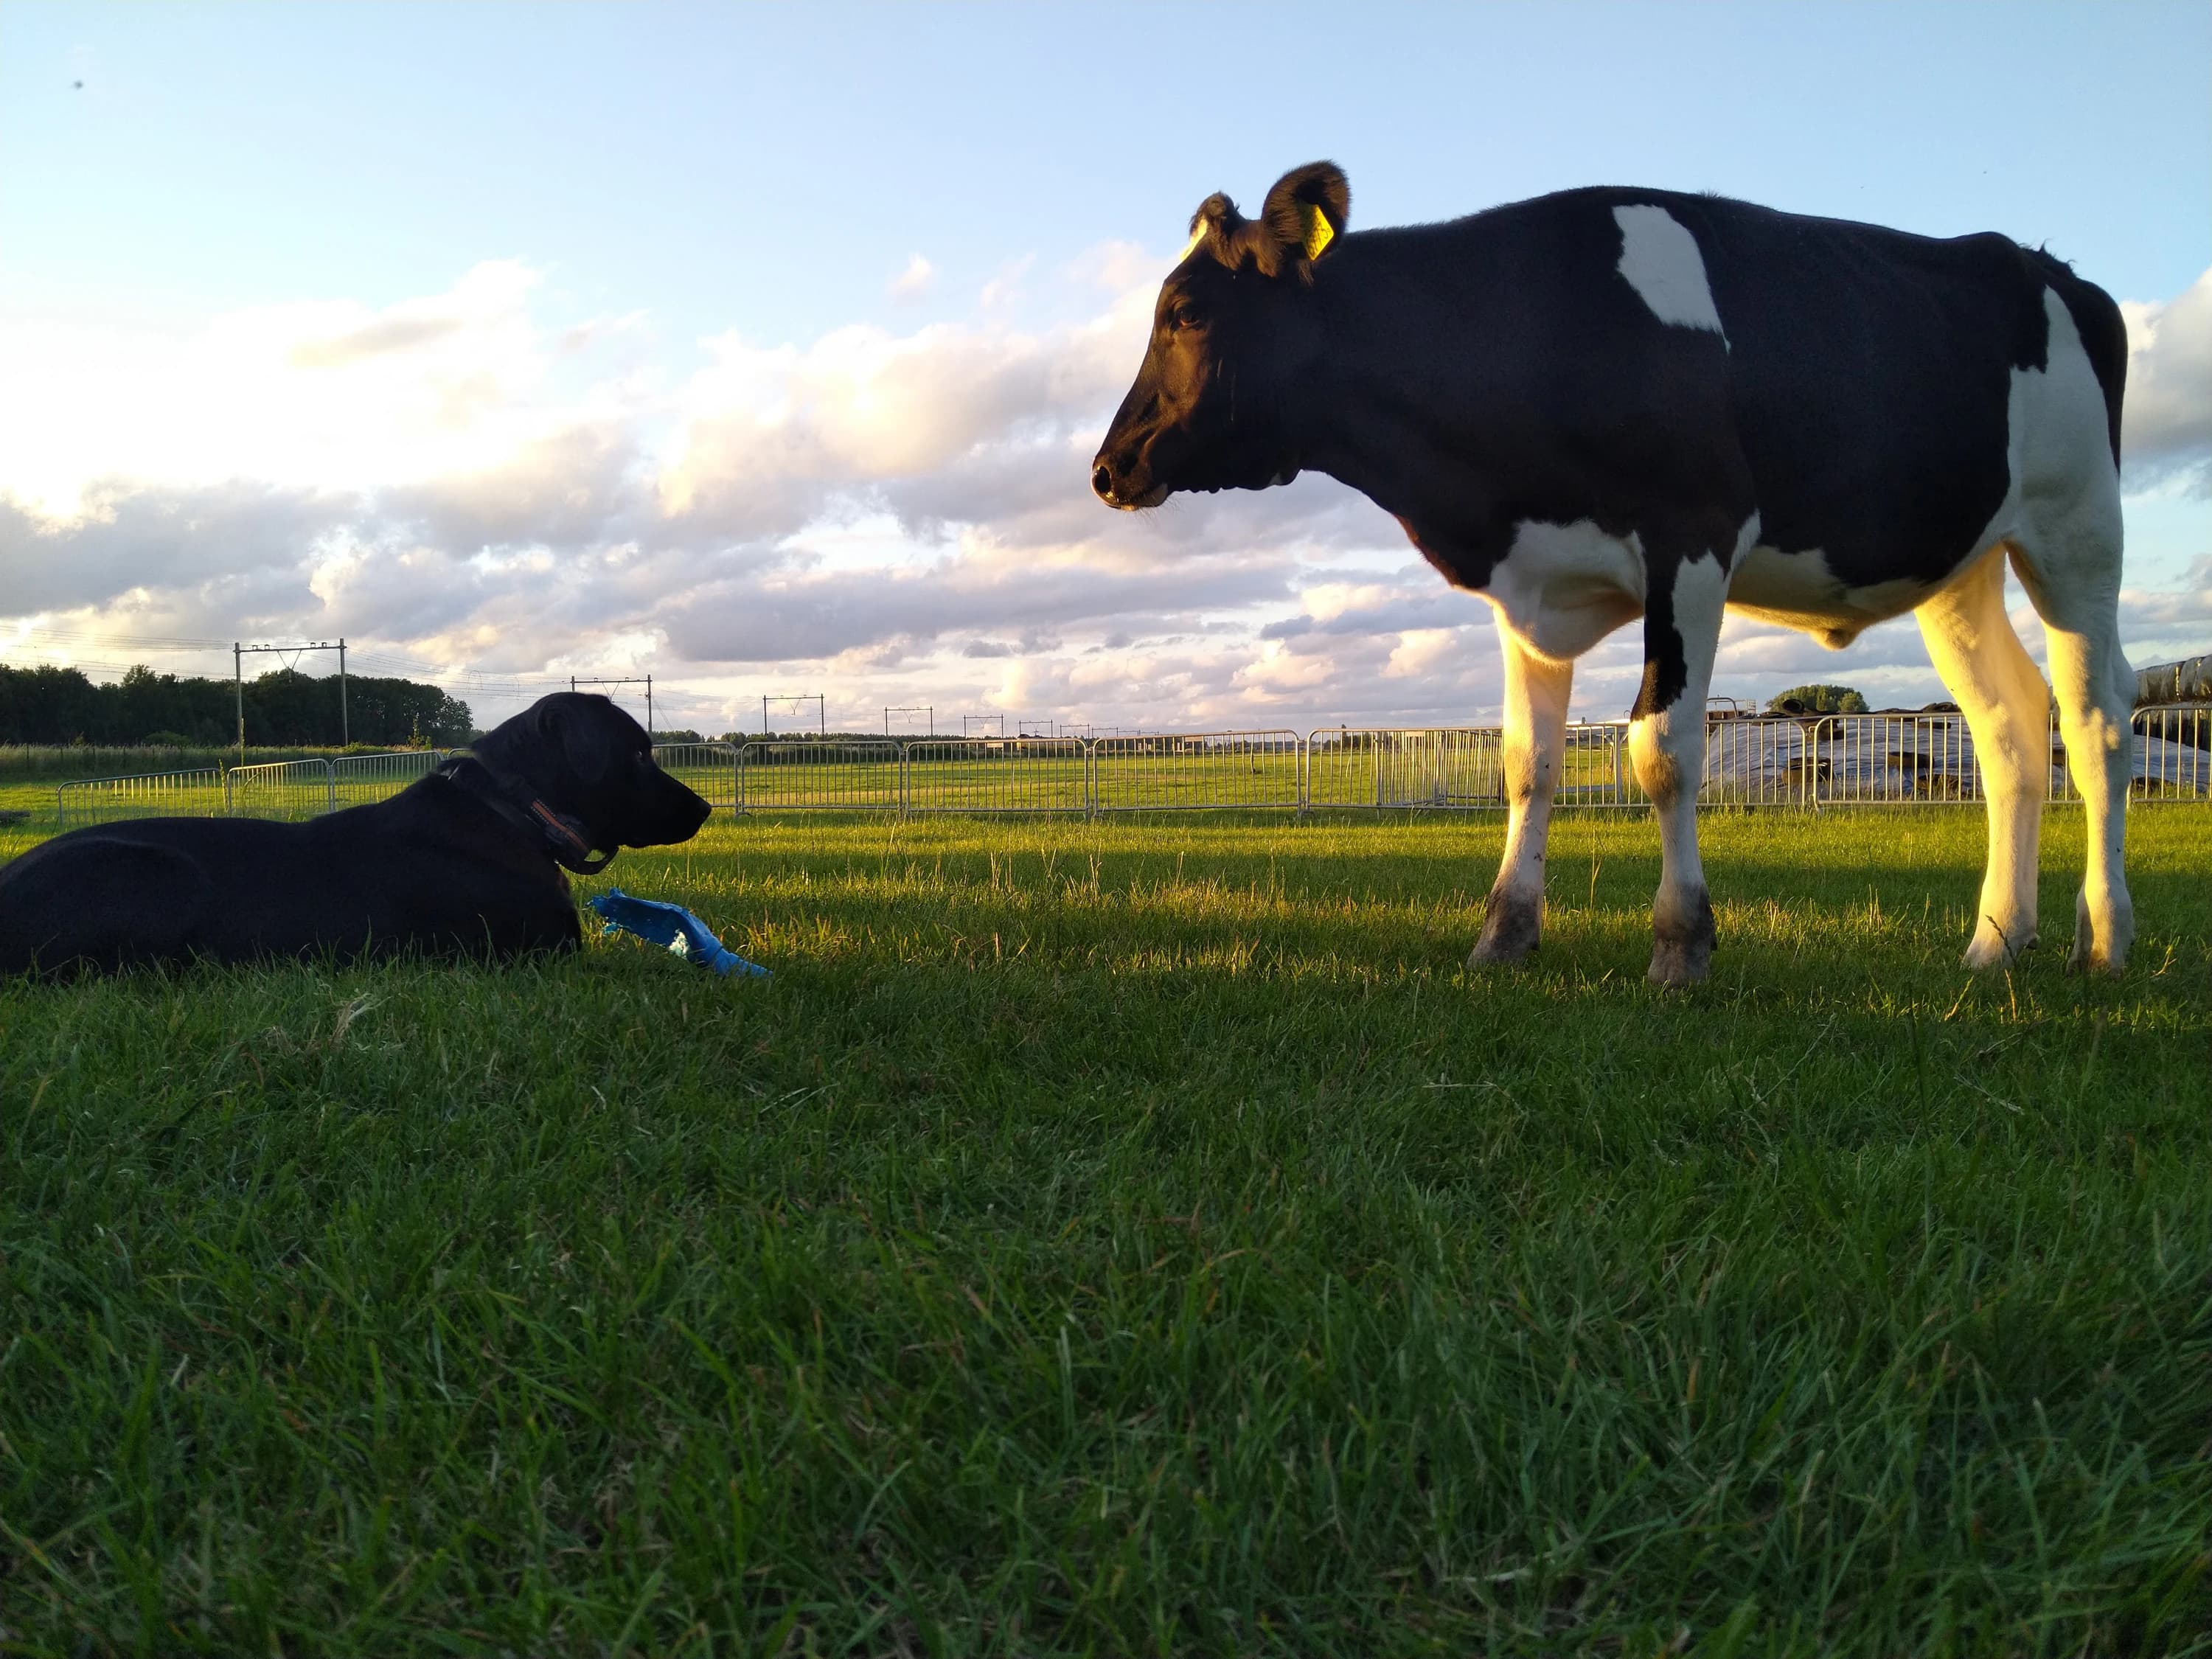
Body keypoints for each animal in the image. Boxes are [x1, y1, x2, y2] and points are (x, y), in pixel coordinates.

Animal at [1091, 162, 2134, 985]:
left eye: (1185, 312)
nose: (1108, 468)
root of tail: (2054, 271)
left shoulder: (1693, 544)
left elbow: (1662, 752)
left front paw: (1682, 944)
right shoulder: (1529, 585)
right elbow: (1528, 764)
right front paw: (1504, 935)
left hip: (2078, 525)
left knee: (2095, 720)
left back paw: (2106, 940)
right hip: (1961, 568)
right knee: (2009, 726)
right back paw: (1996, 942)